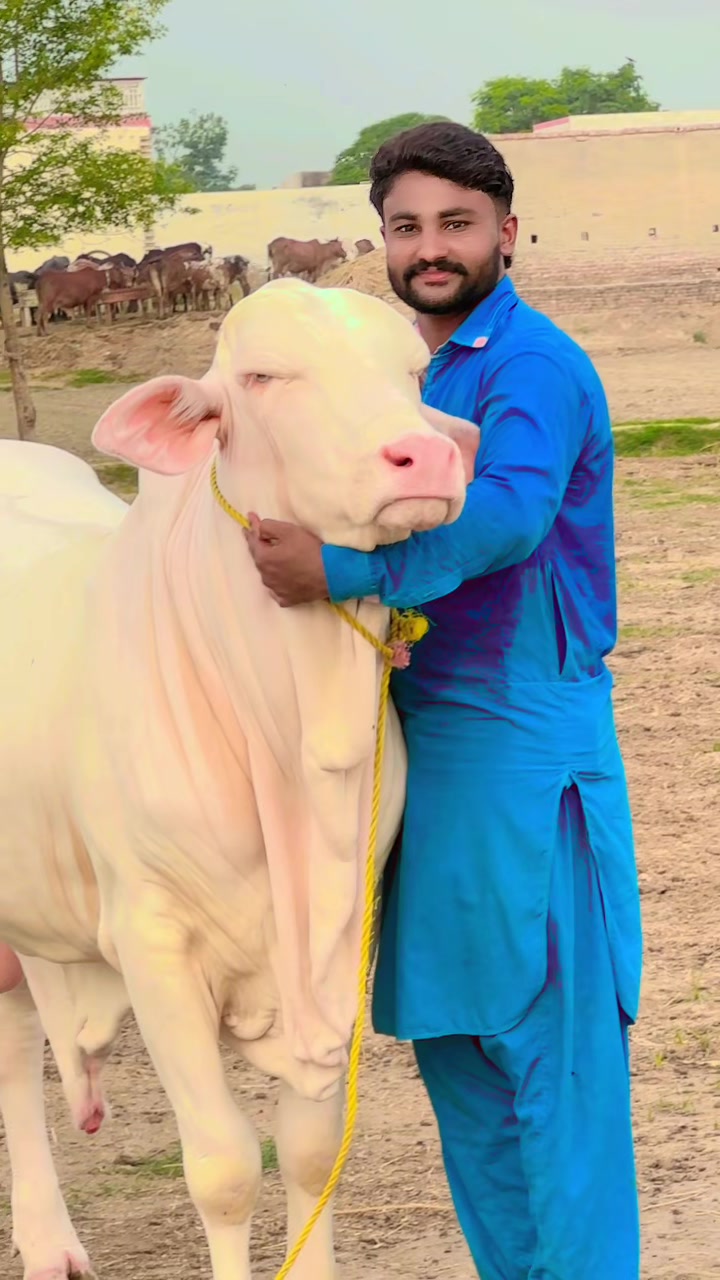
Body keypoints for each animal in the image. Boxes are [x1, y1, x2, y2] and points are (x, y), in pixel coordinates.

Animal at [0, 277, 479, 1280]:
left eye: (416, 373)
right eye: (262, 377)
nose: (420, 456)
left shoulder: (347, 935)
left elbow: (308, 1152)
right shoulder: (153, 941)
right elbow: (223, 1168)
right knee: (17, 1054)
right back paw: (49, 1242)